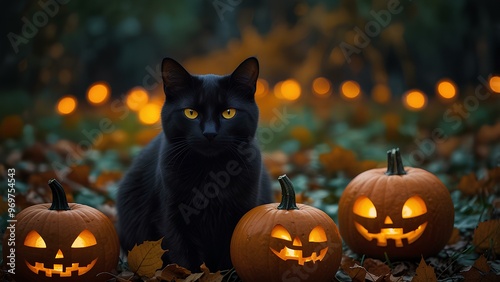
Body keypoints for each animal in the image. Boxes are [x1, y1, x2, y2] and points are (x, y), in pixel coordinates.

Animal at [116, 56, 274, 270]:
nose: (209, 132)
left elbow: (230, 256)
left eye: (229, 113)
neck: (211, 173)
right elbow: (185, 258)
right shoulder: (173, 218)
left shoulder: (240, 214)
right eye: (191, 113)